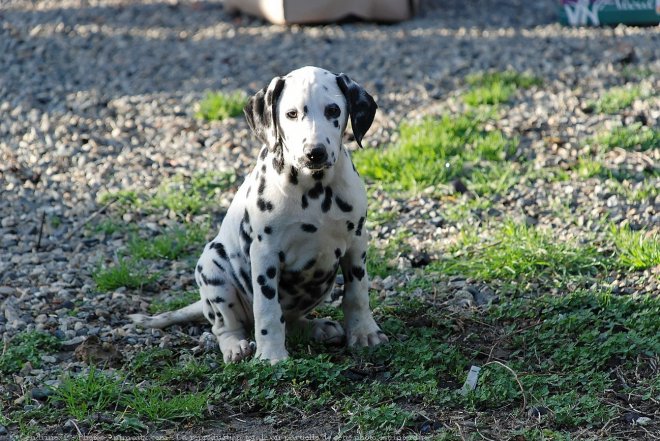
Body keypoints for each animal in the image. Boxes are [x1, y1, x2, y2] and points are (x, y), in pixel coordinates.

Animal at [130, 64, 390, 360]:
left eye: (333, 110)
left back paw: (317, 328)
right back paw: (236, 346)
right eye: (291, 114)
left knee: (291, 321)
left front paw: (364, 332)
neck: (315, 190)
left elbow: (357, 293)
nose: (314, 153)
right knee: (225, 327)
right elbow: (267, 309)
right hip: (213, 271)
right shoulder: (265, 254)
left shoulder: (357, 243)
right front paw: (271, 355)